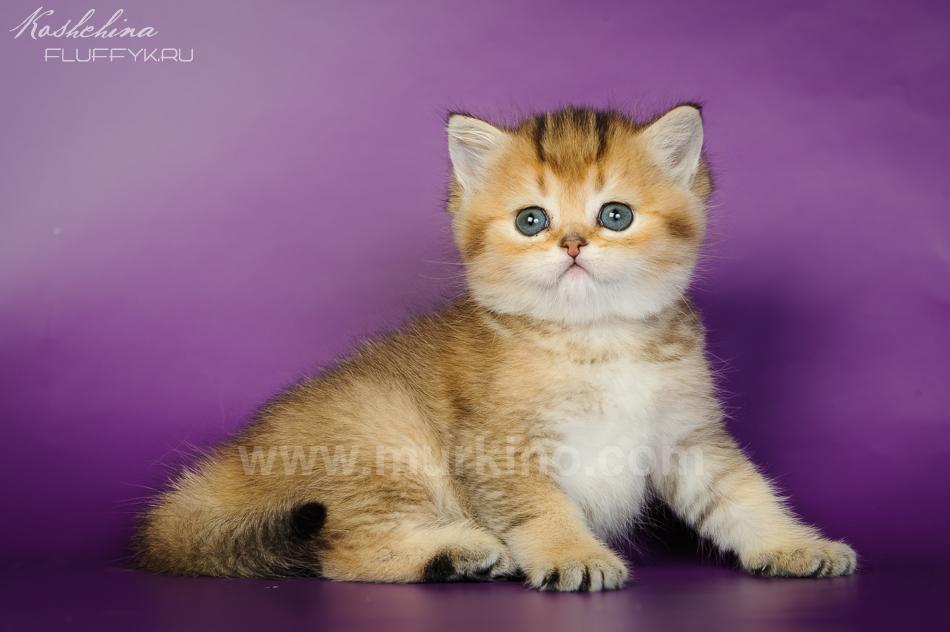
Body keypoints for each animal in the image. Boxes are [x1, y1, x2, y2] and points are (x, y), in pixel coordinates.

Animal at [137, 105, 856, 591]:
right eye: (531, 220)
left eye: (615, 215)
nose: (572, 243)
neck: (596, 339)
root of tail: (229, 465)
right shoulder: (500, 447)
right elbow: (542, 508)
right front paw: (572, 555)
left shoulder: (689, 437)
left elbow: (743, 496)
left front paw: (795, 544)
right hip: (382, 442)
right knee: (342, 555)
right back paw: (460, 553)